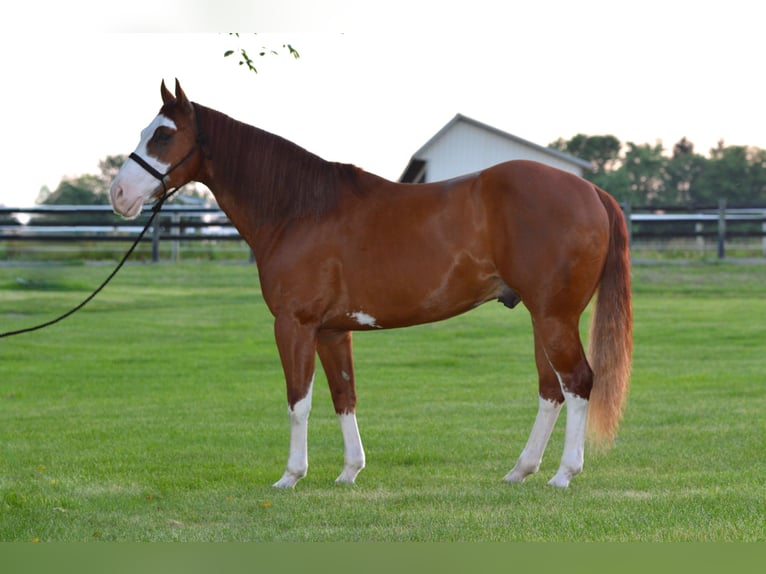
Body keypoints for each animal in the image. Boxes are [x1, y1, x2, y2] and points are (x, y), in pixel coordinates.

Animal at [110, 79, 632, 488]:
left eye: (163, 134)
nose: (118, 194)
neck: (299, 210)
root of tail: (592, 190)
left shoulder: (294, 325)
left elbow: (298, 401)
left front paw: (290, 476)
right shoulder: (331, 331)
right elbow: (344, 397)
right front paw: (349, 471)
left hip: (554, 316)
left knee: (578, 382)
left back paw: (563, 474)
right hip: (543, 317)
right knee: (551, 389)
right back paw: (521, 470)